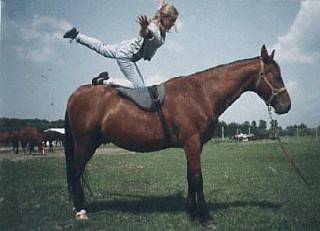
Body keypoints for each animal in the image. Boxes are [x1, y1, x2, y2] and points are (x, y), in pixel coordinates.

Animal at [64, 45, 290, 224]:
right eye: (275, 75)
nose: (286, 106)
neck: (201, 93)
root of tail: (77, 93)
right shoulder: (192, 143)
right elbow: (197, 178)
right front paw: (205, 217)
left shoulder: (193, 146)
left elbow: (190, 176)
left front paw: (192, 212)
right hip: (85, 144)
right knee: (75, 172)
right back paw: (81, 211)